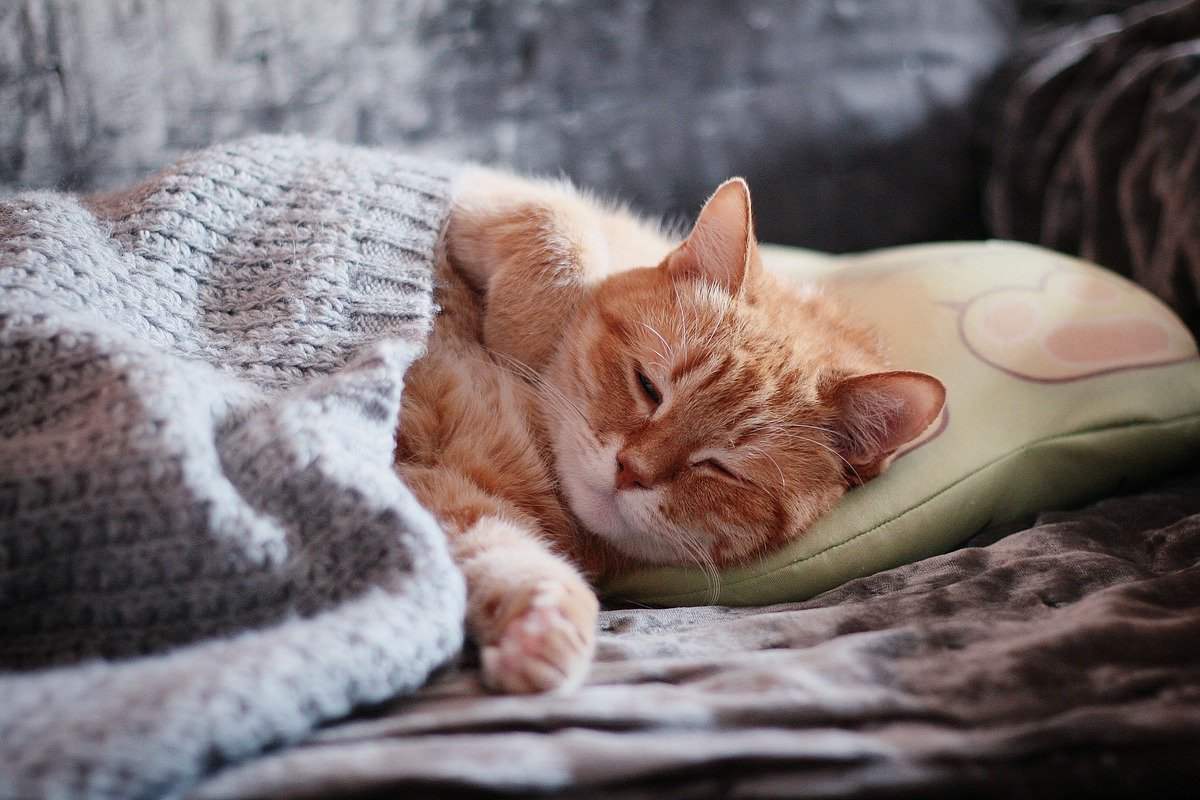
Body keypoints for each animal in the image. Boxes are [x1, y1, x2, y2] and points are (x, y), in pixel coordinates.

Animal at [393, 170, 945, 695]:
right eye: (648, 387)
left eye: (721, 469)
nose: (629, 471)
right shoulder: (475, 185)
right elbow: (555, 223)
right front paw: (530, 336)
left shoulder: (451, 495)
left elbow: (501, 552)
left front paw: (543, 630)